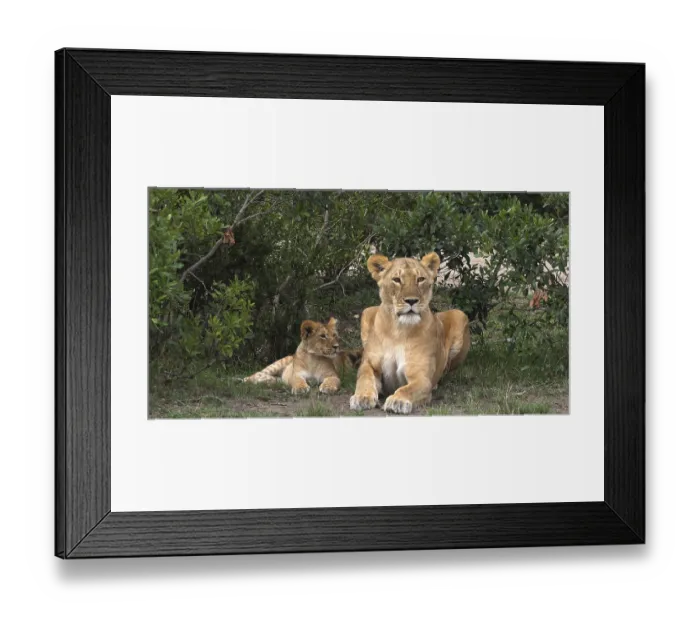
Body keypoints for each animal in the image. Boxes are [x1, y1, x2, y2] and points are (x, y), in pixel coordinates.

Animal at [350, 252, 470, 414]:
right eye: (396, 280)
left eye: (420, 279)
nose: (411, 301)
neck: (398, 331)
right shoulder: (369, 364)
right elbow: (364, 378)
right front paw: (361, 397)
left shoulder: (421, 377)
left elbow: (408, 389)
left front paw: (398, 400)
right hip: (367, 311)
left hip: (460, 314)